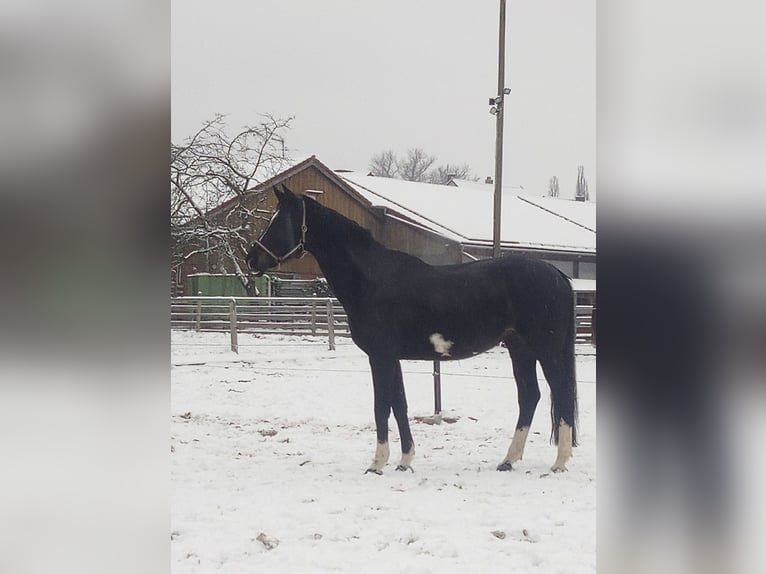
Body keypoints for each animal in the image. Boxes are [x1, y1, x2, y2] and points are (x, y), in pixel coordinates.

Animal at [249, 187, 580, 474]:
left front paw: (377, 464)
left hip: (546, 350)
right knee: (530, 396)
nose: (252, 259)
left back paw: (559, 463)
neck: (371, 279)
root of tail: (557, 275)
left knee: (561, 393)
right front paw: (405, 460)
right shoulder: (391, 357)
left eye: (279, 220)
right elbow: (399, 405)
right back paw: (508, 460)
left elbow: (381, 406)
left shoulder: (380, 356)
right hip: (519, 348)